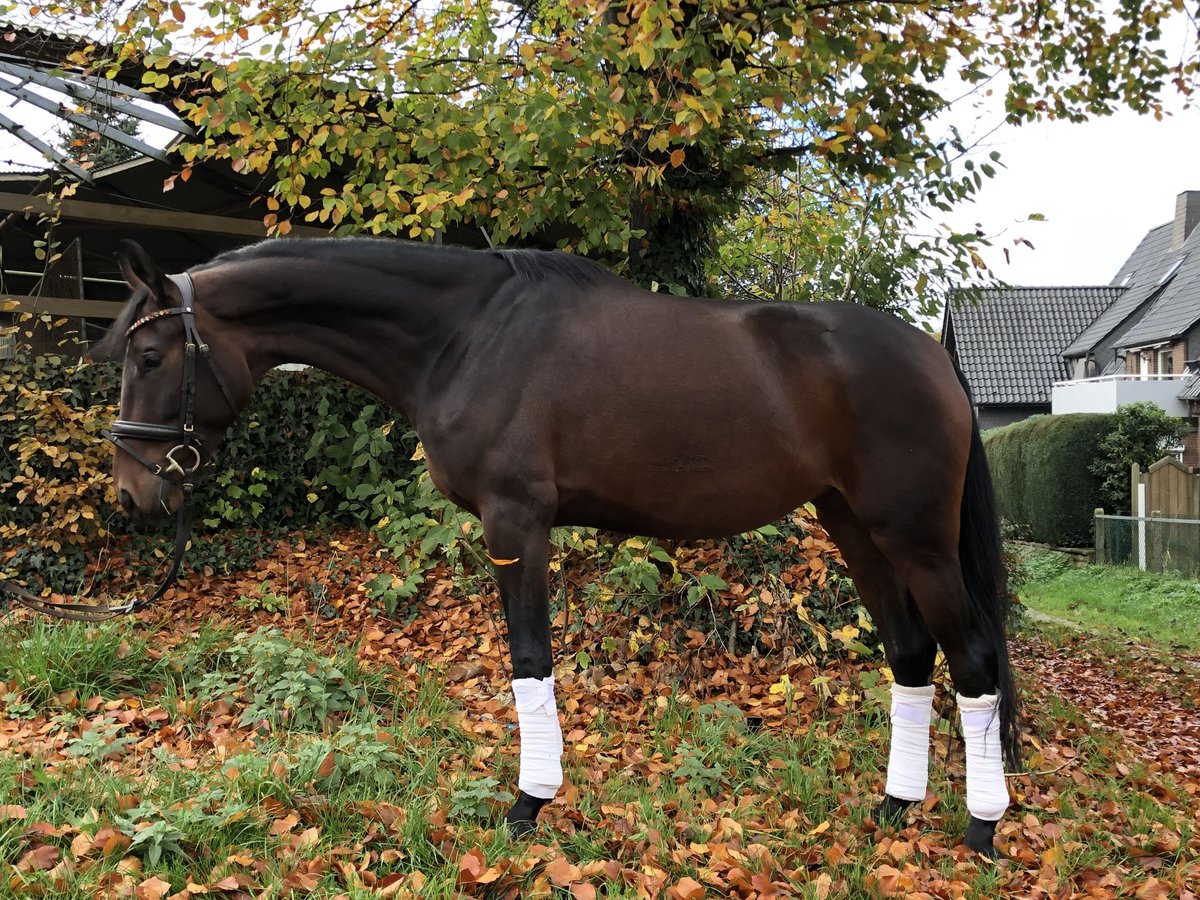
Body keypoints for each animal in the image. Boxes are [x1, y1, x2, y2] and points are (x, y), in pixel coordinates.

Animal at [88, 236, 1017, 854]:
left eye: (149, 353)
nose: (133, 492)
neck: (464, 336)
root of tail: (932, 354)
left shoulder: (515, 523)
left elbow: (529, 662)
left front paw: (527, 805)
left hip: (916, 540)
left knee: (970, 659)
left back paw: (980, 826)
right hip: (853, 526)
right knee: (910, 656)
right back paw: (895, 807)